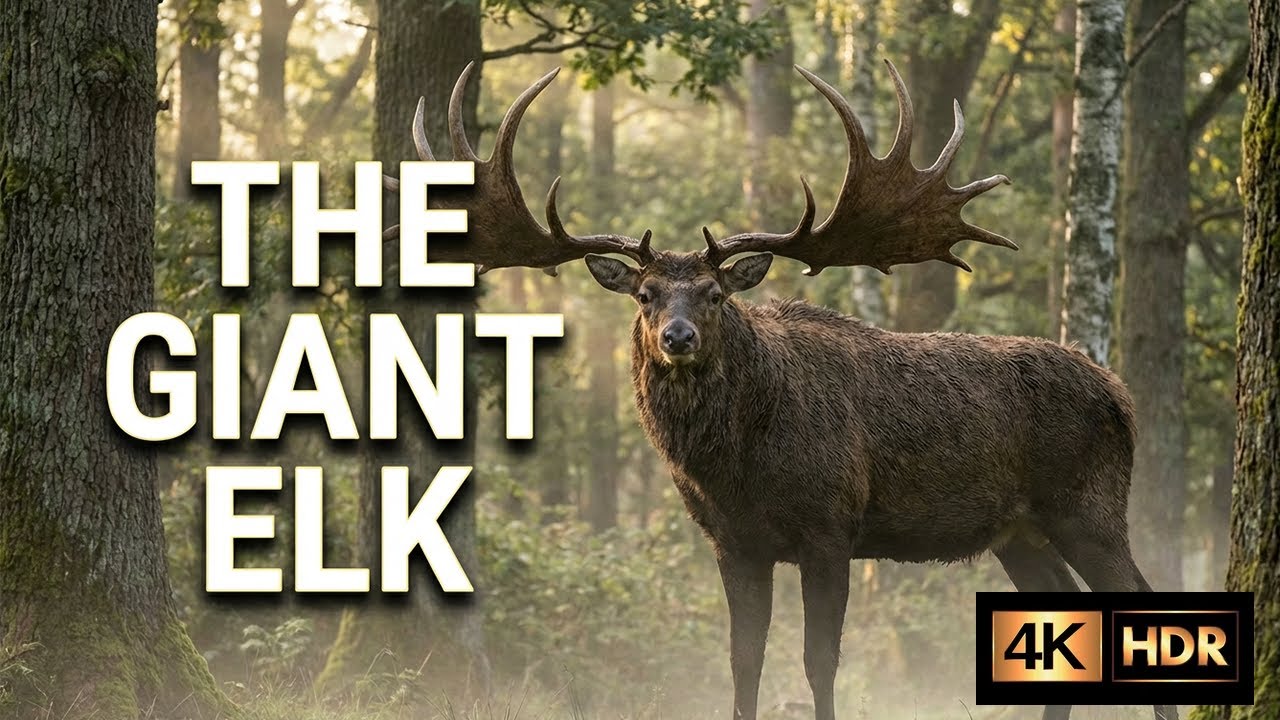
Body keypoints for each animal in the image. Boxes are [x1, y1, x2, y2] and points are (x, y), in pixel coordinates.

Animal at [381, 62, 1177, 720]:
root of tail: (1121, 396)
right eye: (644, 294)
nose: (677, 337)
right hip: (1020, 531)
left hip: (1087, 504)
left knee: (1139, 599)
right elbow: (744, 662)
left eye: (713, 293)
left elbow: (819, 663)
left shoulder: (830, 527)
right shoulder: (734, 543)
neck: (738, 467)